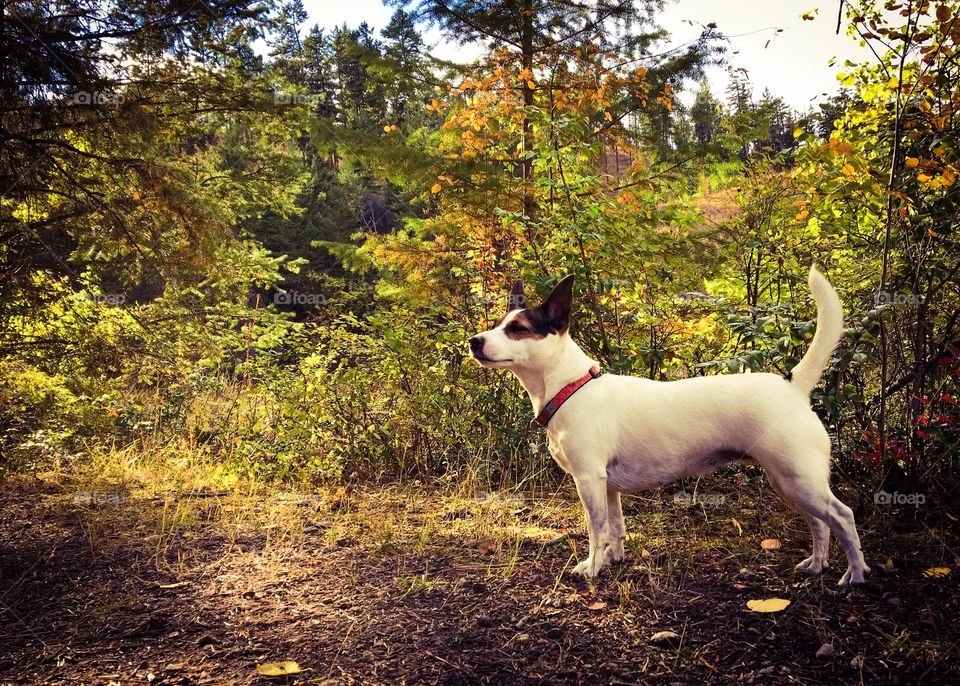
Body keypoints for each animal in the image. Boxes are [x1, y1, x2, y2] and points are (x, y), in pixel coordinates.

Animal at [470, 268, 872, 584]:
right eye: (499, 325)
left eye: (518, 329)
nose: (474, 341)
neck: (571, 387)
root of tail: (792, 384)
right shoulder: (607, 486)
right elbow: (615, 527)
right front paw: (614, 560)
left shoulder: (588, 481)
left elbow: (596, 531)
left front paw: (593, 566)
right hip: (791, 482)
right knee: (820, 524)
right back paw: (816, 565)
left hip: (799, 480)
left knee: (843, 517)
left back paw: (855, 574)